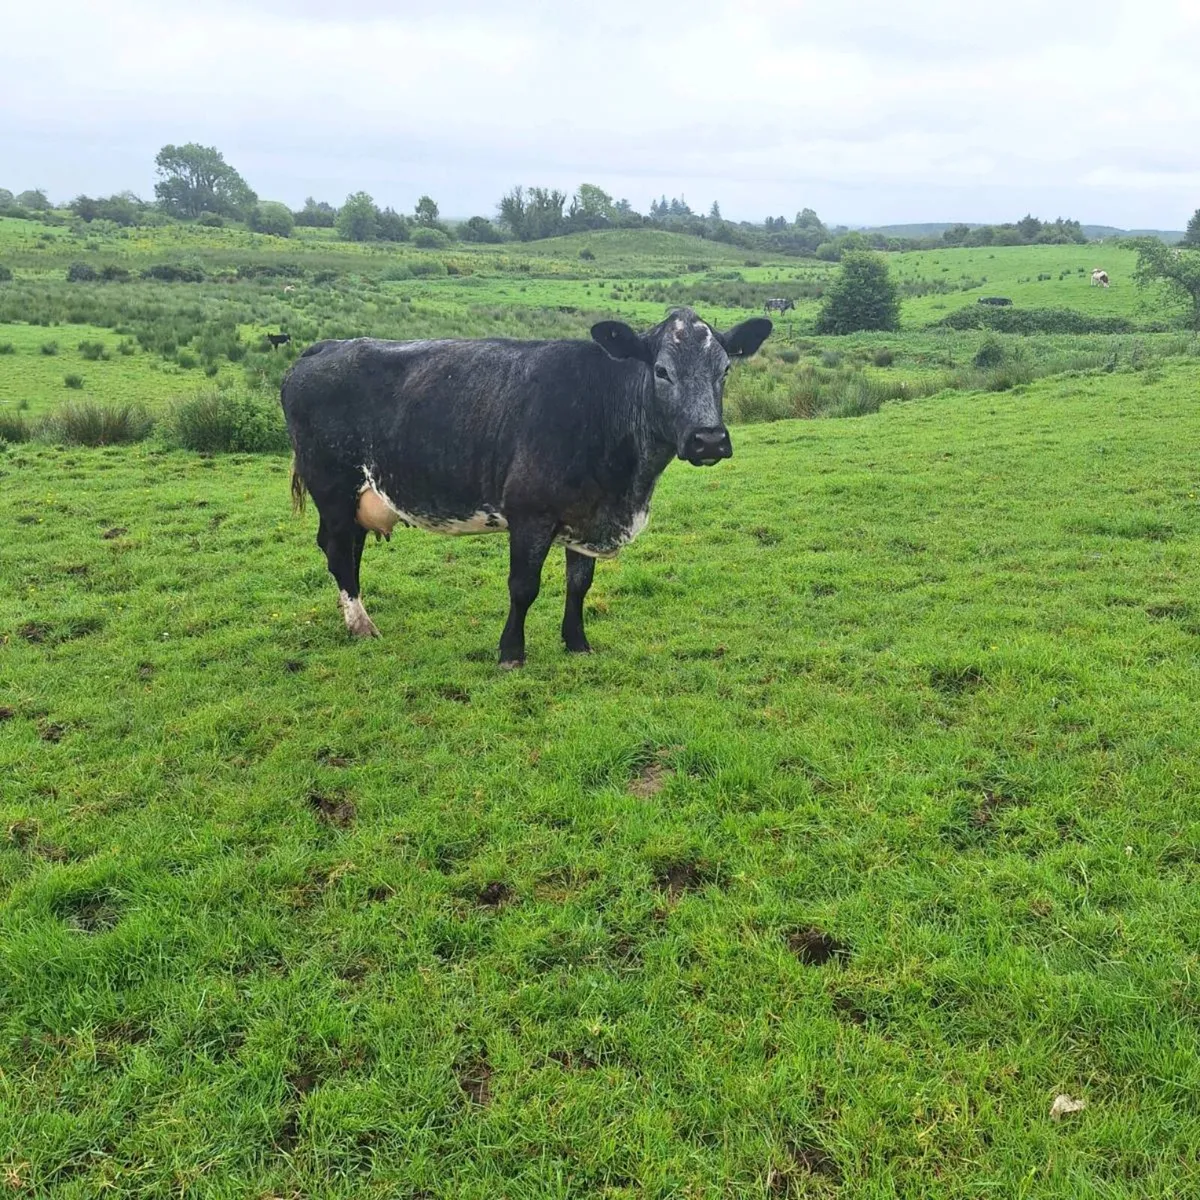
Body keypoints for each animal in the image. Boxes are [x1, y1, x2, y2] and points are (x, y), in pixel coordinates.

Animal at [280, 308, 772, 667]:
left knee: (350, 550)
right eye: (661, 370)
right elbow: (523, 586)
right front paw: (511, 652)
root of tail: (325, 347)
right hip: (332, 487)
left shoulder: (586, 515)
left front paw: (577, 643)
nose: (709, 439)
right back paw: (361, 625)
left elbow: (579, 584)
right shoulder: (529, 514)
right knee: (337, 549)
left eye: (725, 370)